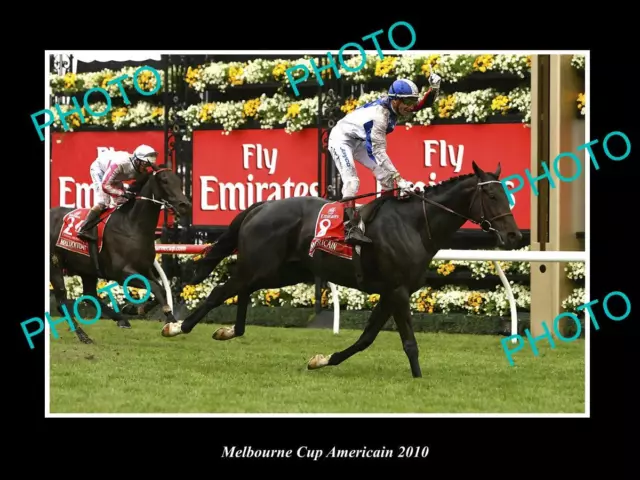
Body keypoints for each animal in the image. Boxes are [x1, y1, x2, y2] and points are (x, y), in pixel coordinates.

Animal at [50, 165, 191, 344]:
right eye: (164, 180)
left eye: (179, 181)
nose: (185, 205)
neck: (132, 226)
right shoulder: (121, 273)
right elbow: (155, 287)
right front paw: (171, 320)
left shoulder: (146, 269)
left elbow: (162, 288)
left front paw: (134, 309)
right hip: (54, 265)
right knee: (62, 301)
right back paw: (84, 336)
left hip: (87, 268)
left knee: (89, 295)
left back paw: (121, 320)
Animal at [160, 162, 520, 378]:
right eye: (491, 194)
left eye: (506, 192)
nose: (514, 235)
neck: (415, 226)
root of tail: (261, 206)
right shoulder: (398, 291)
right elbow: (409, 342)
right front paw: (418, 379)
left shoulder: (390, 292)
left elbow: (366, 338)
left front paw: (322, 359)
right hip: (262, 265)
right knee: (222, 290)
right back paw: (177, 327)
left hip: (282, 271)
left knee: (242, 289)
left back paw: (229, 331)